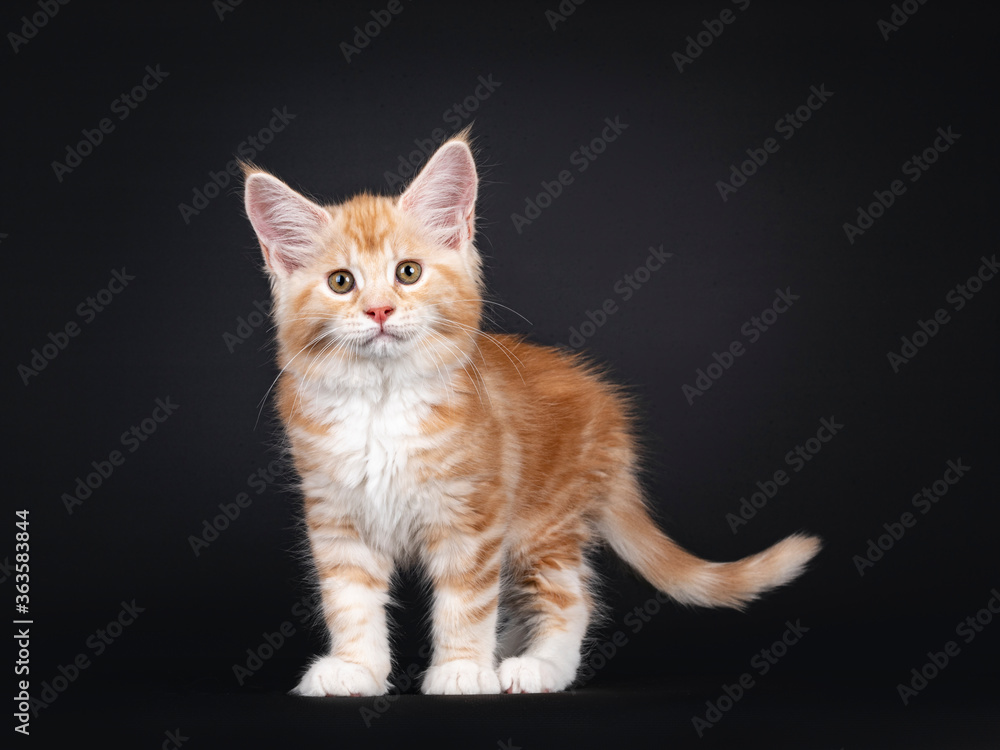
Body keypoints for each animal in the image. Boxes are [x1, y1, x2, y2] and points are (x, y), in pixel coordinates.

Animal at [242, 131, 820, 700]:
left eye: (408, 273)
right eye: (341, 282)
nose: (379, 310)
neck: (383, 401)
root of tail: (607, 407)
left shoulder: (474, 516)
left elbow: (466, 602)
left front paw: (461, 670)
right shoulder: (337, 516)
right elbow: (350, 600)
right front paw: (355, 668)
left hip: (546, 523)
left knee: (571, 597)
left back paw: (537, 668)